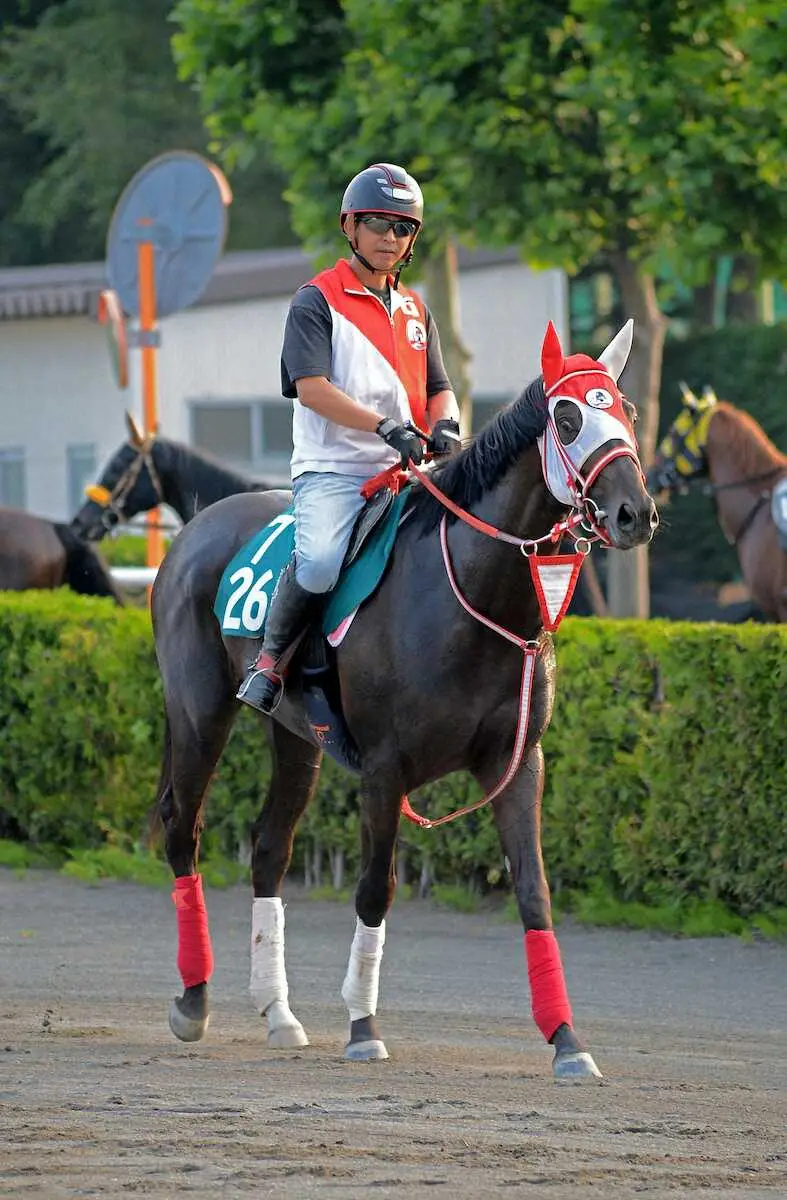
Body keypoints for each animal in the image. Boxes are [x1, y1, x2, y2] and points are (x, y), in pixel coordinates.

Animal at [147, 319, 657, 1080]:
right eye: (567, 419)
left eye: (624, 409)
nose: (635, 513)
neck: (469, 594)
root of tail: (192, 533)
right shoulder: (385, 771)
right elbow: (374, 888)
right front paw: (363, 1027)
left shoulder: (519, 763)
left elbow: (533, 892)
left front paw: (568, 1041)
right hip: (199, 715)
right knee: (186, 832)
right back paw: (193, 1000)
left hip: (296, 740)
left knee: (269, 850)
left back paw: (278, 1013)